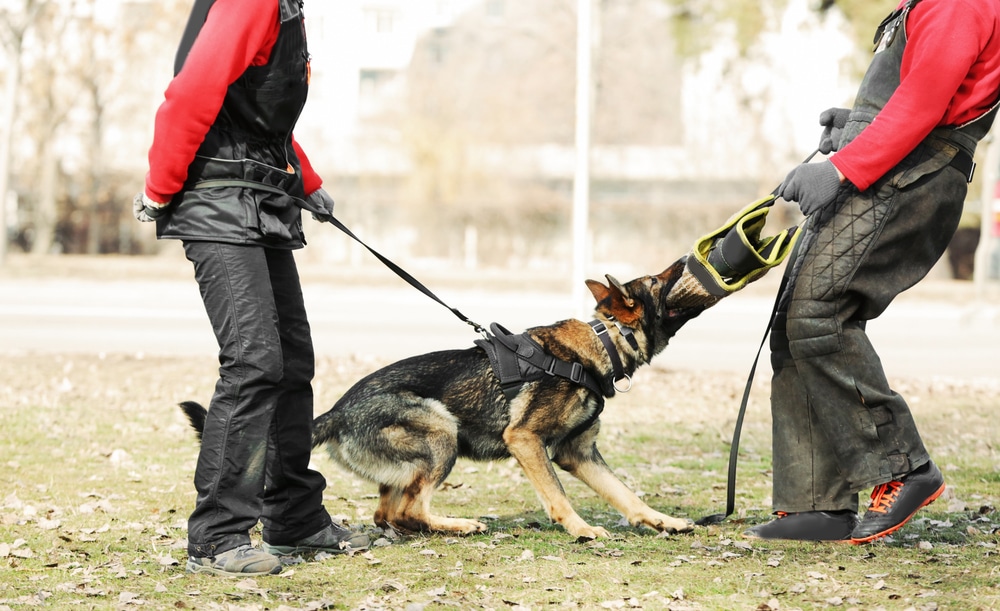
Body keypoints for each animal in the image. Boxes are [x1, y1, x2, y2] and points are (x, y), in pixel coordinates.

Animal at [184, 258, 708, 540]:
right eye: (658, 281)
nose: (688, 261)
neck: (604, 340)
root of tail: (337, 410)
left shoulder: (577, 453)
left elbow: (627, 493)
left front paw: (662, 521)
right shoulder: (526, 441)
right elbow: (558, 496)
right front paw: (580, 530)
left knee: (389, 513)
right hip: (442, 432)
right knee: (410, 508)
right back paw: (459, 525)